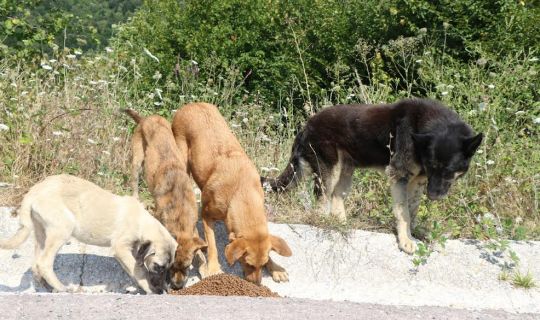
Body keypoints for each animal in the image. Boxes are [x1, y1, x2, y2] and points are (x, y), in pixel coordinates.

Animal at [0, 174, 177, 294]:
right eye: (158, 267)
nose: (163, 289)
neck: (141, 220)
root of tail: (33, 191)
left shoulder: (131, 251)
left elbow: (133, 268)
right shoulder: (120, 247)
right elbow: (139, 271)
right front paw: (149, 289)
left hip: (41, 233)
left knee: (36, 263)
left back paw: (46, 287)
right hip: (61, 229)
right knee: (44, 262)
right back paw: (62, 287)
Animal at [123, 110, 206, 290]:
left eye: (187, 266)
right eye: (171, 266)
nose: (177, 287)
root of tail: (146, 119)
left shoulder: (193, 230)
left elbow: (201, 253)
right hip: (136, 161)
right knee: (134, 185)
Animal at [172, 103, 292, 284]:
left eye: (263, 264)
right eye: (247, 263)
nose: (256, 284)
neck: (241, 193)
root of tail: (192, 104)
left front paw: (276, 268)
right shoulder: (206, 214)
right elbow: (213, 245)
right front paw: (213, 268)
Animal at [262, 99, 480, 254]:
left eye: (449, 171)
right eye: (433, 166)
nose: (434, 196)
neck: (424, 127)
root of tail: (306, 125)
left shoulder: (417, 181)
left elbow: (412, 210)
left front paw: (413, 233)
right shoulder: (399, 176)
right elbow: (403, 212)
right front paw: (406, 240)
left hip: (346, 172)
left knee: (336, 197)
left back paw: (341, 224)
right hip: (329, 171)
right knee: (322, 201)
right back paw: (323, 223)